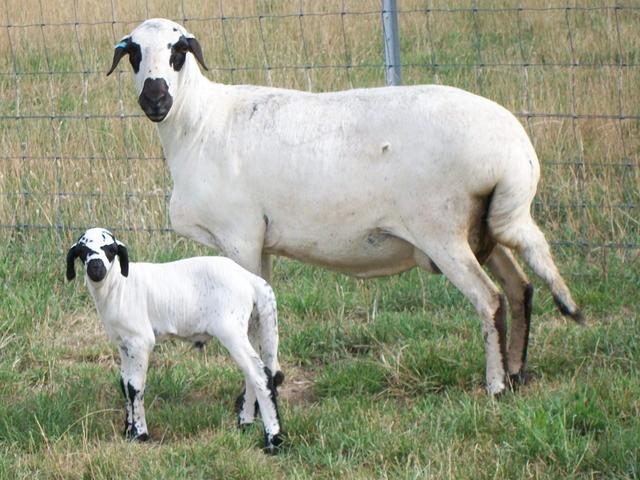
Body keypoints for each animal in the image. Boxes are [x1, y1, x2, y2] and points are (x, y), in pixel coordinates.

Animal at [66, 227, 285, 452]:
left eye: (110, 249)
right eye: (82, 251)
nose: (96, 267)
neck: (119, 287)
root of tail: (251, 280)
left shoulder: (140, 341)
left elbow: (135, 386)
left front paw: (140, 434)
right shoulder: (124, 344)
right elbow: (124, 383)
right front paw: (127, 431)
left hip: (230, 329)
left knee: (260, 374)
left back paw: (273, 441)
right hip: (252, 326)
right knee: (254, 372)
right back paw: (245, 424)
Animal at [106, 18, 583, 397]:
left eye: (178, 51)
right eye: (134, 53)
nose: (154, 100)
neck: (200, 123)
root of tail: (515, 154)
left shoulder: (240, 236)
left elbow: (252, 320)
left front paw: (254, 395)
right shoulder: (258, 241)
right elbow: (265, 313)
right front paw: (271, 381)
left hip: (442, 230)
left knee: (491, 300)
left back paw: (496, 385)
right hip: (481, 228)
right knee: (521, 288)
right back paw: (517, 373)